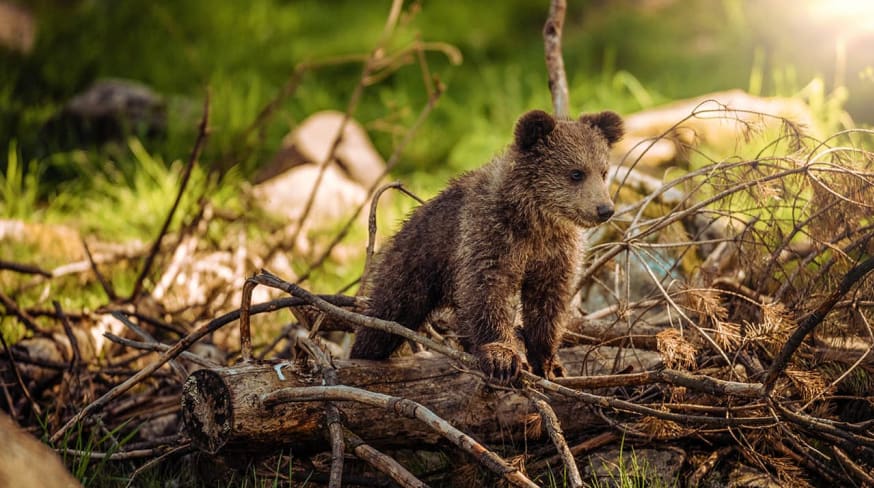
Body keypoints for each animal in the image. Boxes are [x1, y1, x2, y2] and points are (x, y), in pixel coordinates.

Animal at [350, 109, 624, 382]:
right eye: (576, 173)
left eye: (603, 172)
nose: (604, 209)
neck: (535, 220)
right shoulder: (490, 237)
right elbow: (488, 292)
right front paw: (502, 357)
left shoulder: (554, 252)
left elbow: (547, 303)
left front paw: (549, 363)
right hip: (414, 265)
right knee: (386, 316)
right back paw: (363, 353)